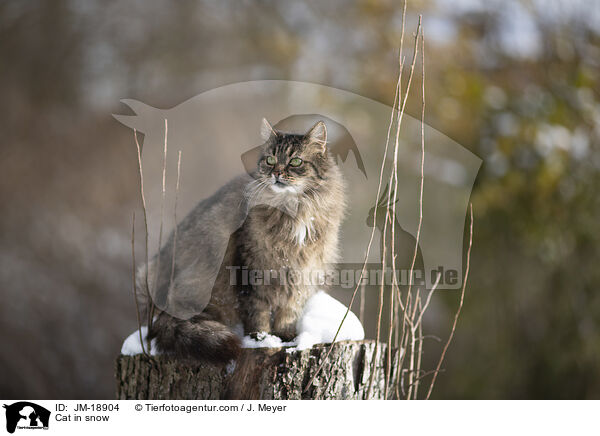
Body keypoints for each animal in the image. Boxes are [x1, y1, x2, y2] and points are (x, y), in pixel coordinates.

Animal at [142, 117, 346, 362]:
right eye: (270, 160)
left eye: (295, 161)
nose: (277, 173)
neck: (292, 211)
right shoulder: (251, 268)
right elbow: (257, 313)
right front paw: (261, 339)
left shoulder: (300, 273)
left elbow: (289, 311)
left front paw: (285, 337)